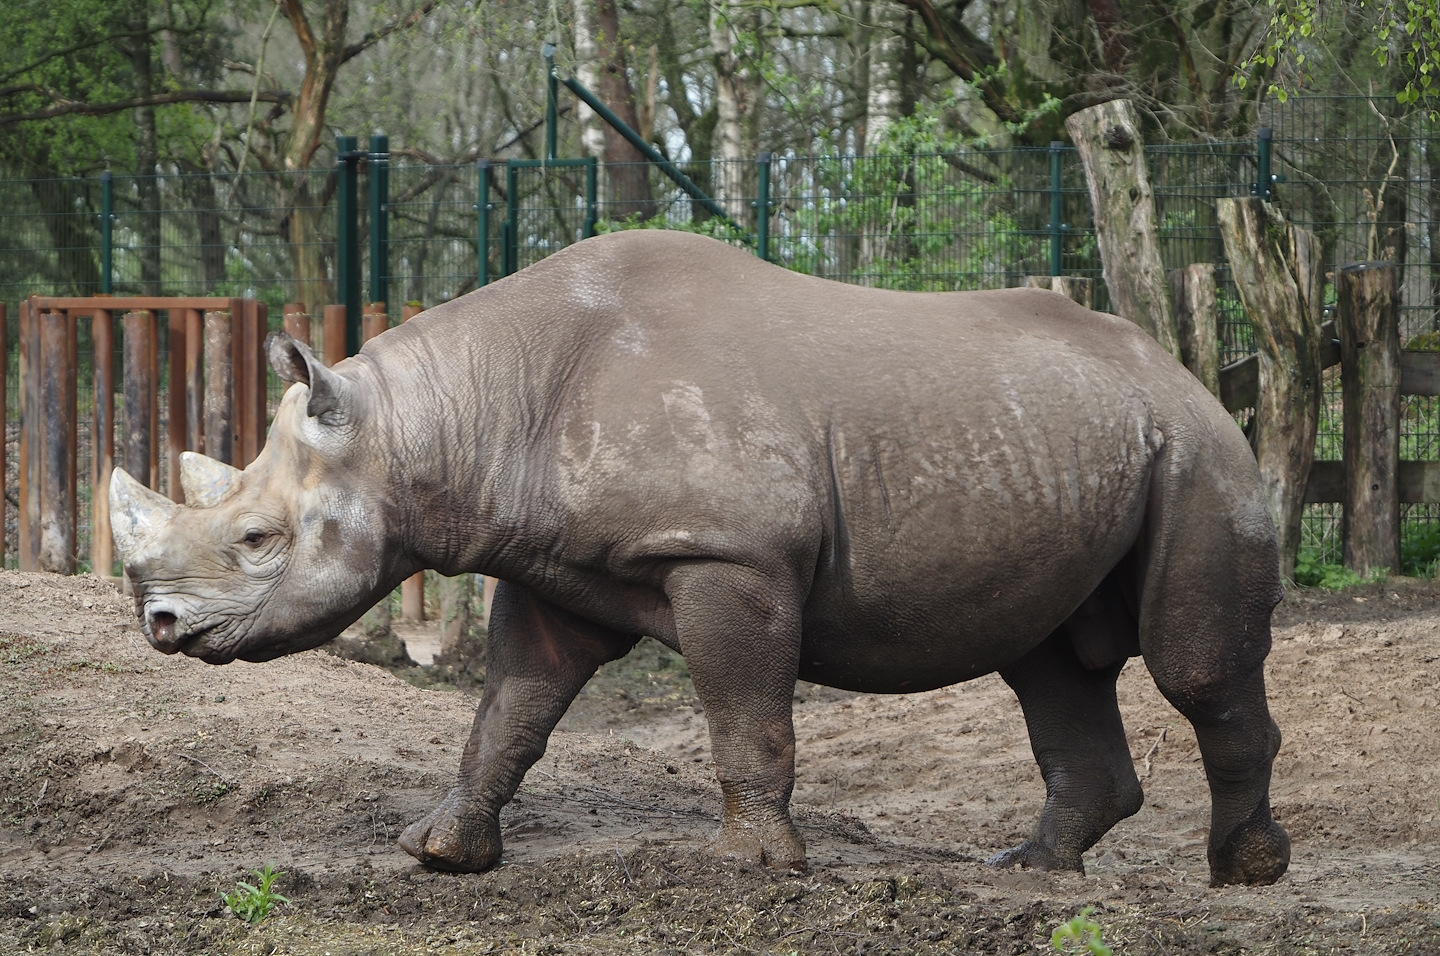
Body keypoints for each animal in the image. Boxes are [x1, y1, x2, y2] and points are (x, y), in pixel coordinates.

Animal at [110, 230, 1290, 886]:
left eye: (256, 541)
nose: (160, 625)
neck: (440, 420)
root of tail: (1179, 368)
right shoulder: (556, 571)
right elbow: (511, 709)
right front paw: (440, 851)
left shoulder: (732, 554)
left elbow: (745, 712)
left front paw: (758, 868)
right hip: (1077, 441)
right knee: (1047, 659)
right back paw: (1034, 870)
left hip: (1200, 455)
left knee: (1193, 668)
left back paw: (1245, 873)